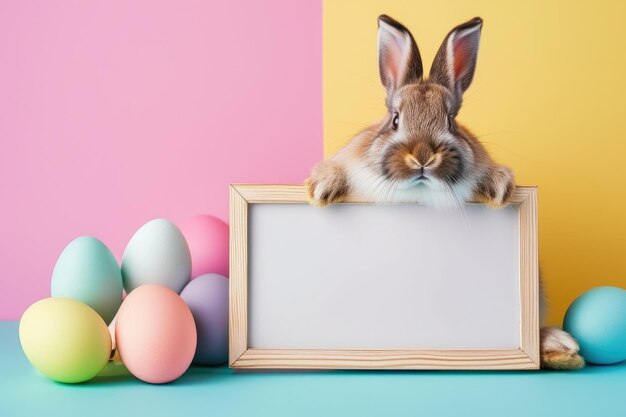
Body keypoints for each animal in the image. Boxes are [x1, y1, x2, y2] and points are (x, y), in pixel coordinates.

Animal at [304, 14, 584, 368]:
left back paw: (558, 346)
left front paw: (500, 188)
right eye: (395, 120)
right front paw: (322, 188)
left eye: (451, 120)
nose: (423, 156)